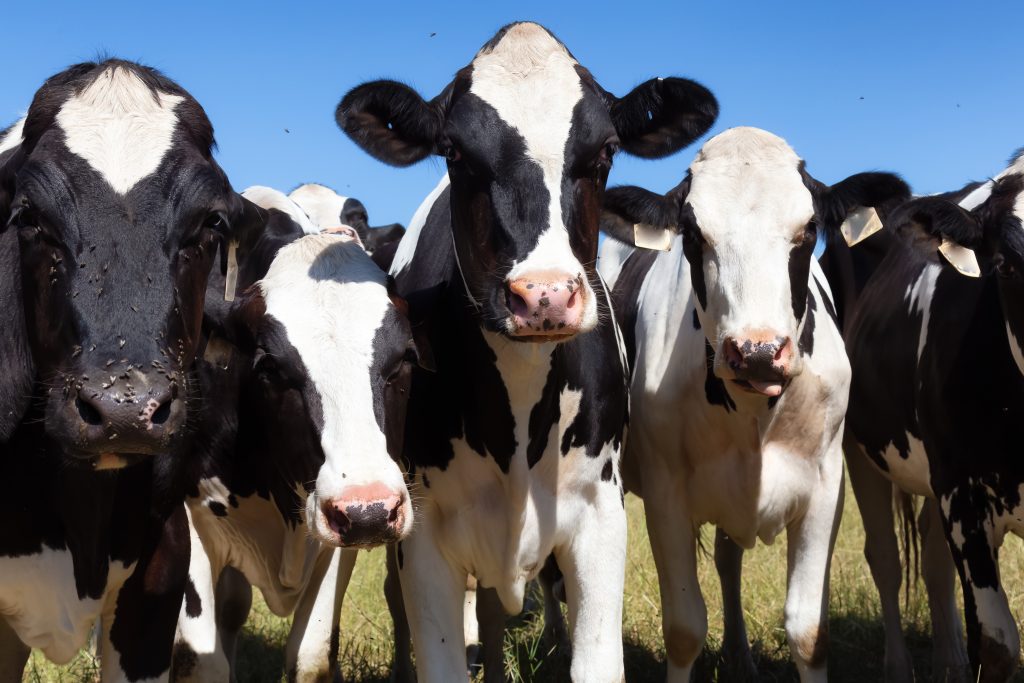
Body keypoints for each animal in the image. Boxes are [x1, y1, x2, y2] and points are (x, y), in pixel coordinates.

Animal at [172, 186, 424, 682]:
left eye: (405, 356)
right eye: (269, 366)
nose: (369, 509)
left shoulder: (337, 534)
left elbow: (311, 653)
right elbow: (200, 658)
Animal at [597, 126, 909, 682]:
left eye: (809, 229)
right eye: (693, 234)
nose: (758, 351)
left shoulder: (826, 485)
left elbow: (808, 632)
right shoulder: (664, 491)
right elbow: (684, 630)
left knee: (728, 559)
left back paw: (740, 657)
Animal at [844, 151, 1024, 682]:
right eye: (1005, 266)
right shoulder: (962, 492)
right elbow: (998, 645)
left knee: (933, 558)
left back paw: (950, 661)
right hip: (859, 447)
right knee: (886, 556)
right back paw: (900, 668)